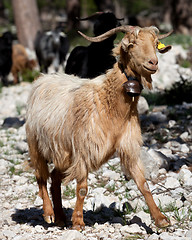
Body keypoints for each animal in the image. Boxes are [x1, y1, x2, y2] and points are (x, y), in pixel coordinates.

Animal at [25, 25, 172, 230]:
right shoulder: (83, 150)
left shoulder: (128, 146)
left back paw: (61, 217)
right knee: (40, 176)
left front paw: (160, 219)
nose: (153, 62)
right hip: (36, 144)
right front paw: (78, 222)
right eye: (131, 45)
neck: (110, 106)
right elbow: (82, 189)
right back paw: (49, 214)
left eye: (155, 43)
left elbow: (143, 184)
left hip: (63, 153)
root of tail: (42, 79)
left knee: (54, 179)